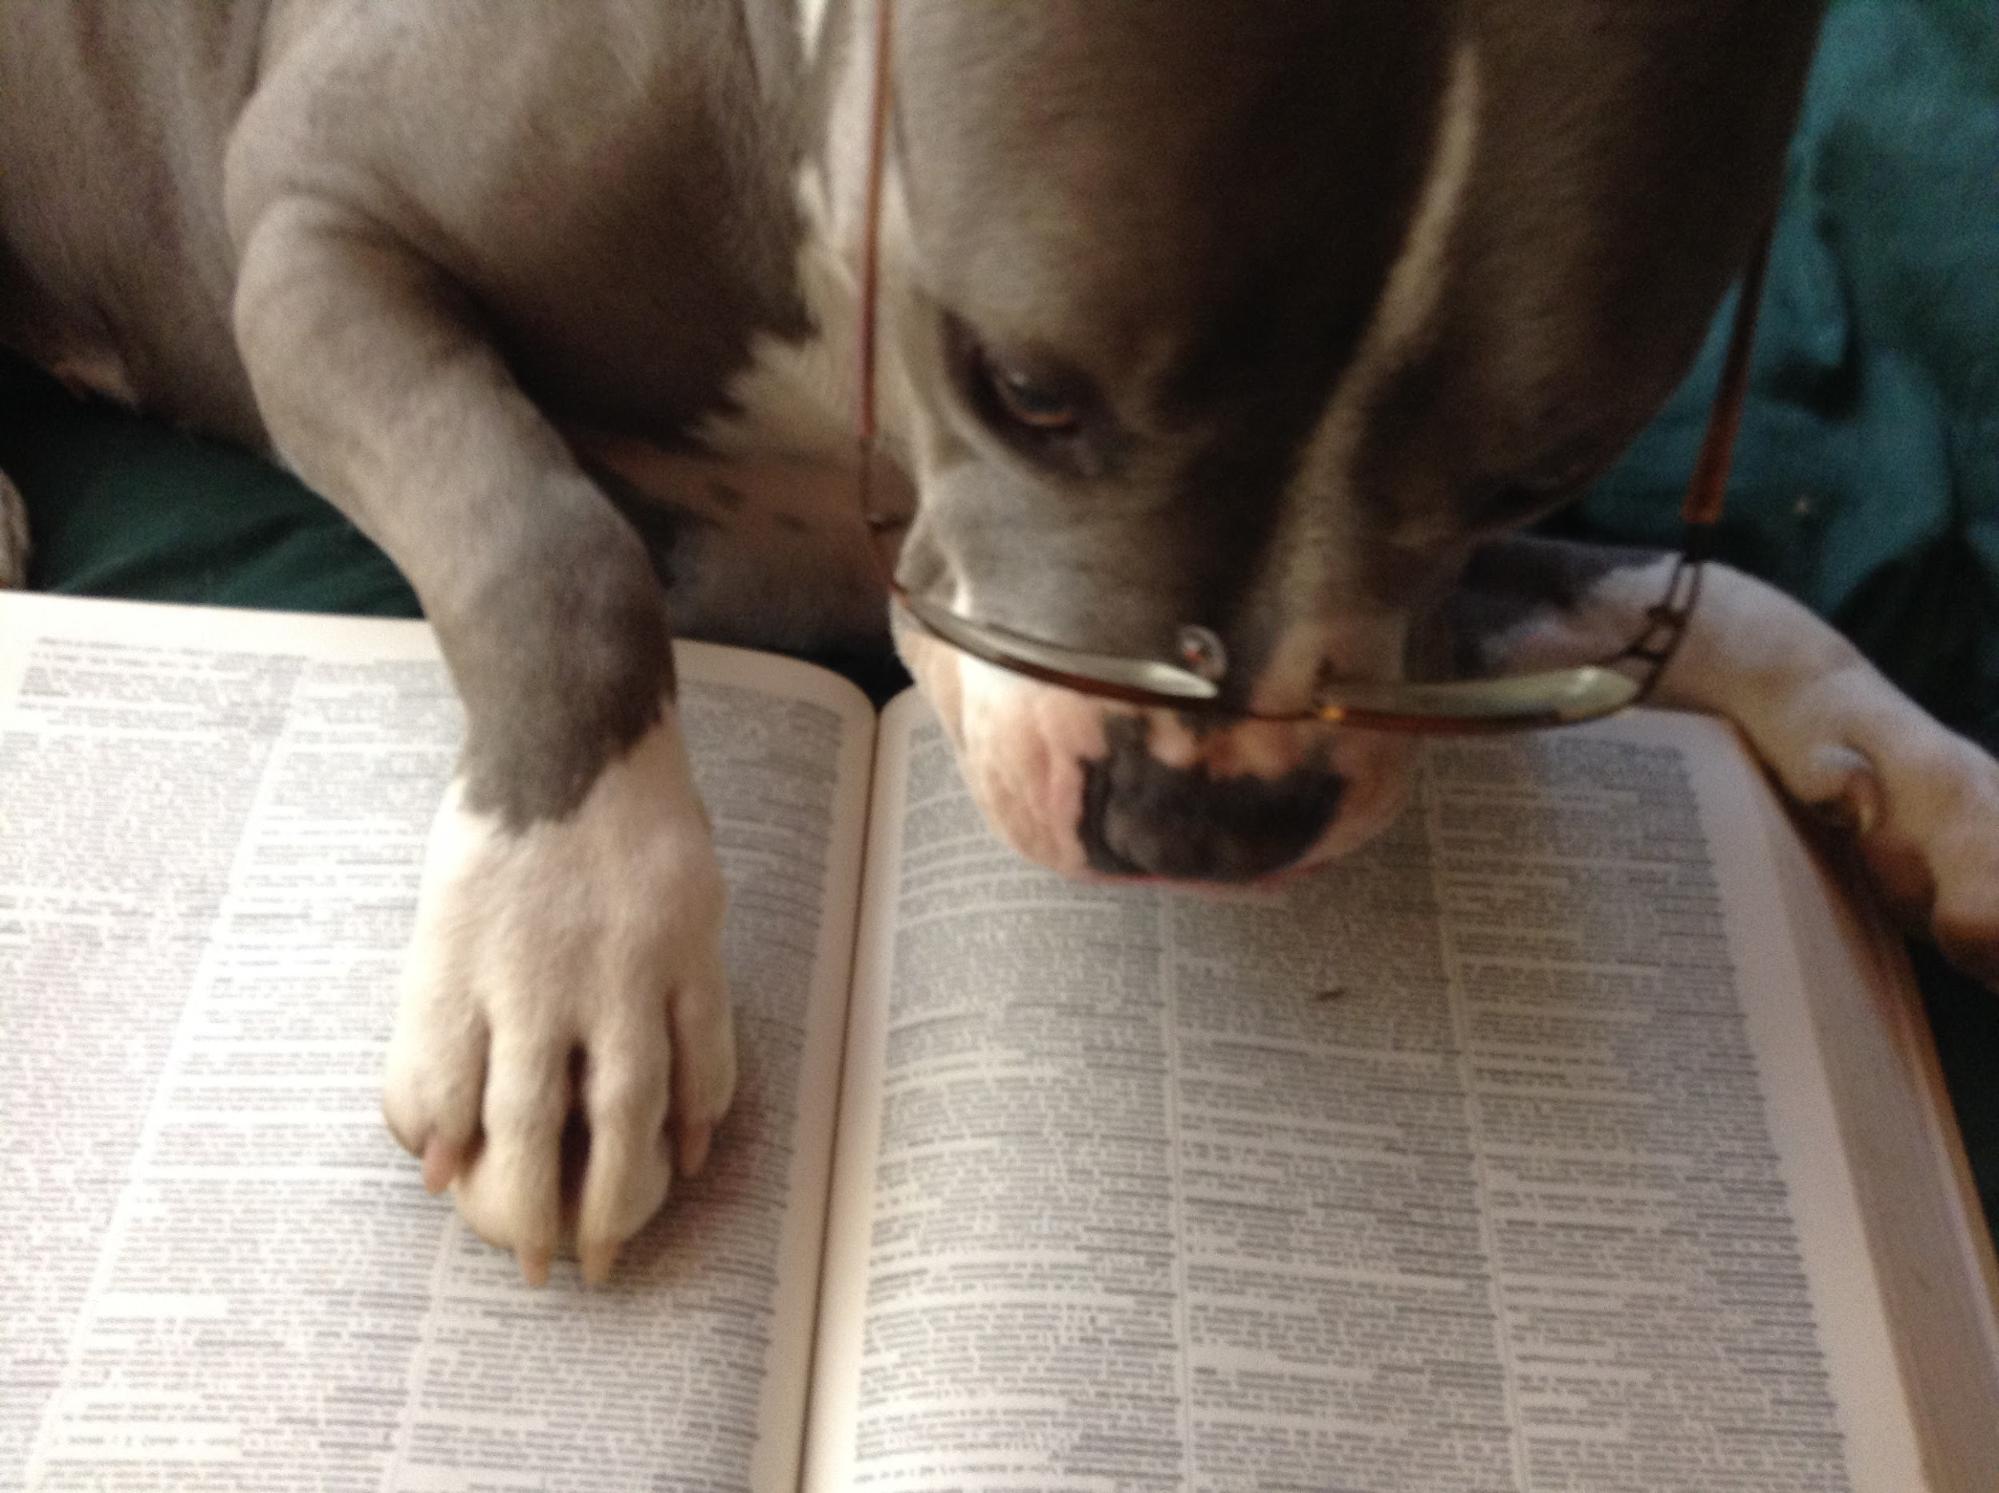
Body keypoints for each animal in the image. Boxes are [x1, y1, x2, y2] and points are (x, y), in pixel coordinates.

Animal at [3, 0, 1999, 1287]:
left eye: (1539, 458)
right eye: (1025, 386)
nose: (1209, 821)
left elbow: (1695, 597)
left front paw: (1924, 783)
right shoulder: (311, 214)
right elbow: (553, 539)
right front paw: (567, 962)